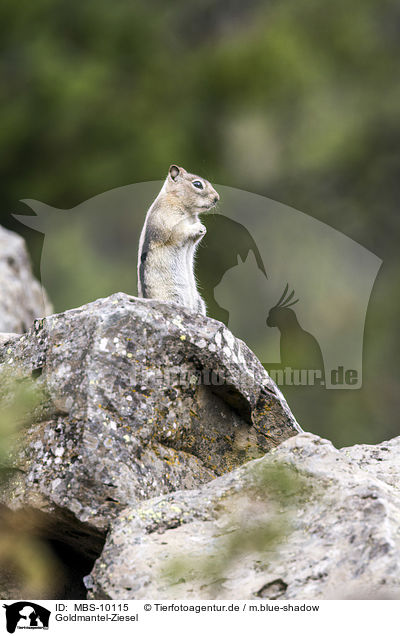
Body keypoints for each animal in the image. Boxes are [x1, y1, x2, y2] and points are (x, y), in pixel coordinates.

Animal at [137, 164, 219, 314]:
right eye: (197, 184)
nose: (217, 198)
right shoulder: (168, 221)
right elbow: (178, 233)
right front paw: (198, 227)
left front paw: (203, 229)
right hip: (172, 296)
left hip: (199, 302)